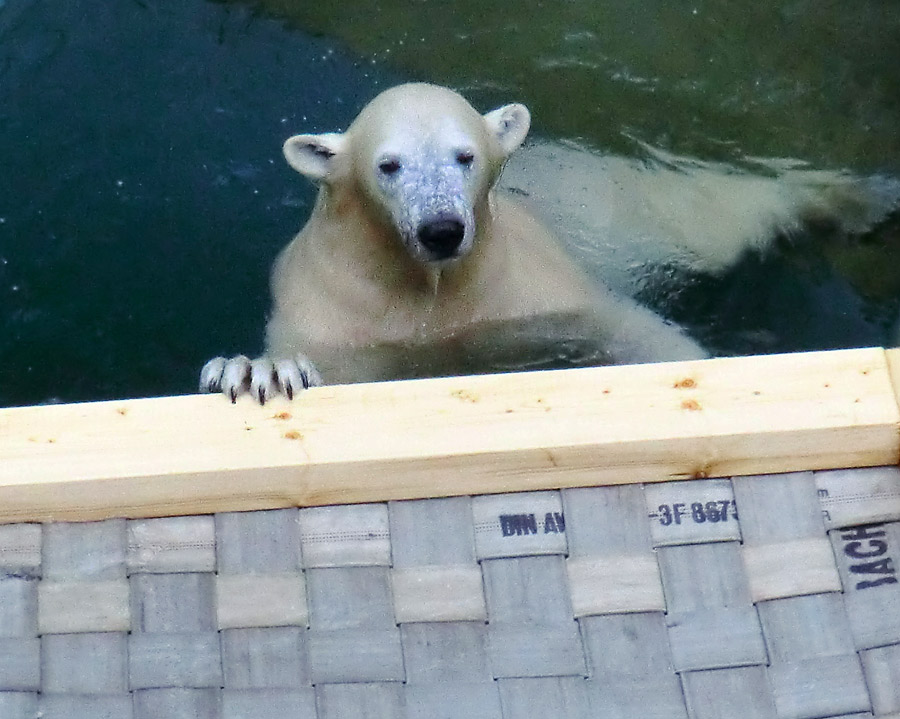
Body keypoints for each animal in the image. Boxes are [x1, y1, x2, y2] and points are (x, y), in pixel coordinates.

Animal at [200, 84, 708, 404]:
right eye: (389, 165)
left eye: (465, 156)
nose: (441, 229)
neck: (433, 292)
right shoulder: (334, 314)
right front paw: (258, 373)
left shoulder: (531, 298)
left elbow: (626, 327)